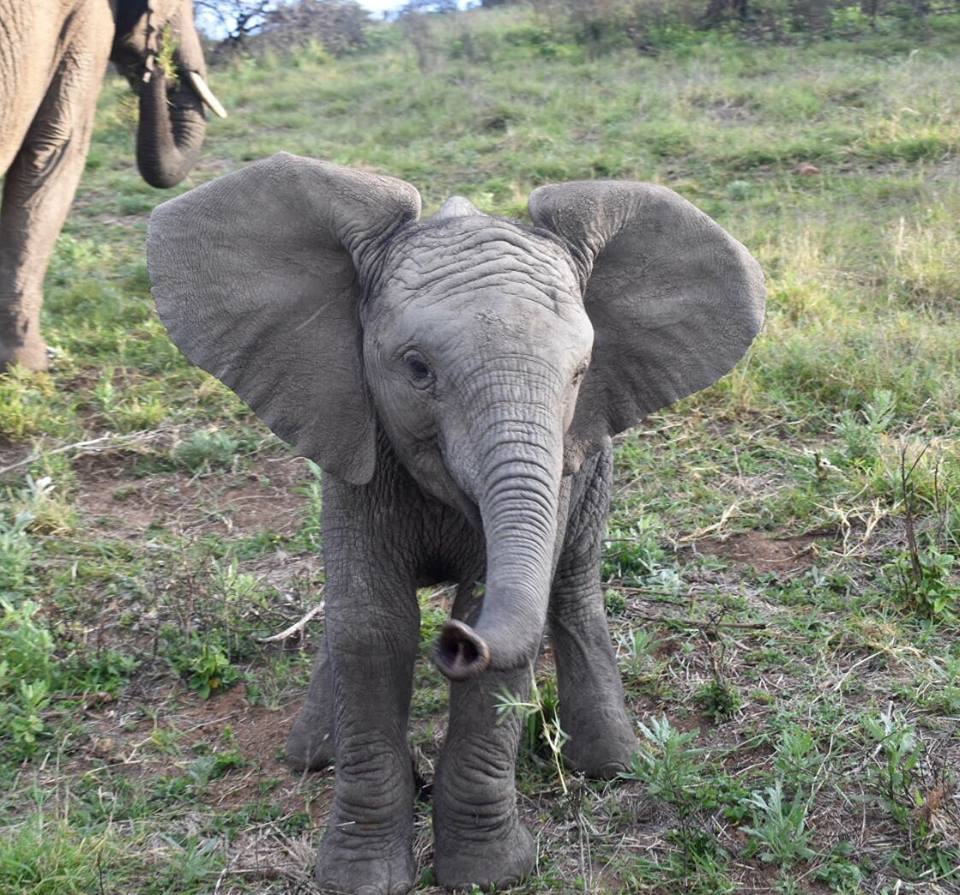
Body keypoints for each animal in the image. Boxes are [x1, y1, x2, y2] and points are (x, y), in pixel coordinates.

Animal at [148, 150, 764, 892]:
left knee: (572, 583)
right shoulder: (357, 447)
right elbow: (373, 625)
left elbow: (498, 607)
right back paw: (312, 755)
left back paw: (612, 765)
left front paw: (486, 874)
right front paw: (361, 876)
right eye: (416, 368)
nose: (459, 645)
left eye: (580, 373)